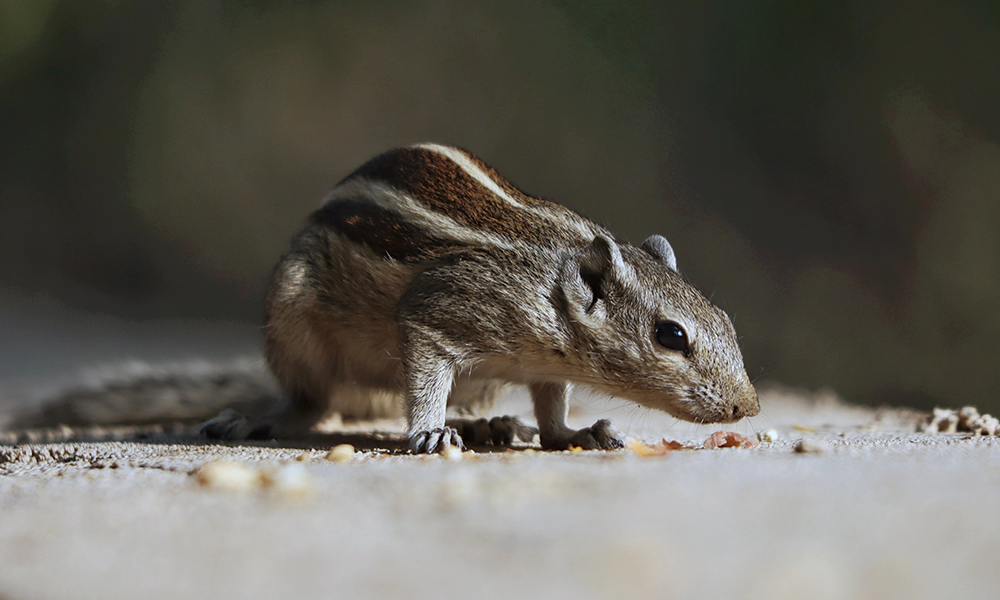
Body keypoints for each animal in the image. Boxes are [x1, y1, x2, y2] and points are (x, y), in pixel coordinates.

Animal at [6, 144, 759, 453]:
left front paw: (571, 434)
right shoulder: (443, 311)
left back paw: (490, 426)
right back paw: (263, 418)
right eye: (671, 335)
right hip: (294, 318)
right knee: (311, 404)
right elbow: (424, 362)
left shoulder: (542, 367)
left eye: (725, 319)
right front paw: (426, 430)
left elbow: (551, 409)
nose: (747, 408)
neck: (550, 279)